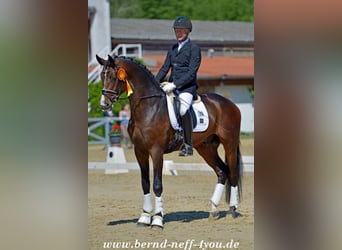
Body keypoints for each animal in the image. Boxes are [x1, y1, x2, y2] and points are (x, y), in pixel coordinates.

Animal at [95, 54, 243, 229]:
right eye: (101, 76)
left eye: (112, 76)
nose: (104, 105)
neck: (149, 107)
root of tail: (230, 104)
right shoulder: (140, 151)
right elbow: (145, 183)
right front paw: (144, 217)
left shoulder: (156, 151)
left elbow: (157, 184)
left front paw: (158, 220)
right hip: (206, 148)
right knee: (222, 171)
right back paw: (213, 210)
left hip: (229, 143)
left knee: (232, 172)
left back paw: (232, 210)